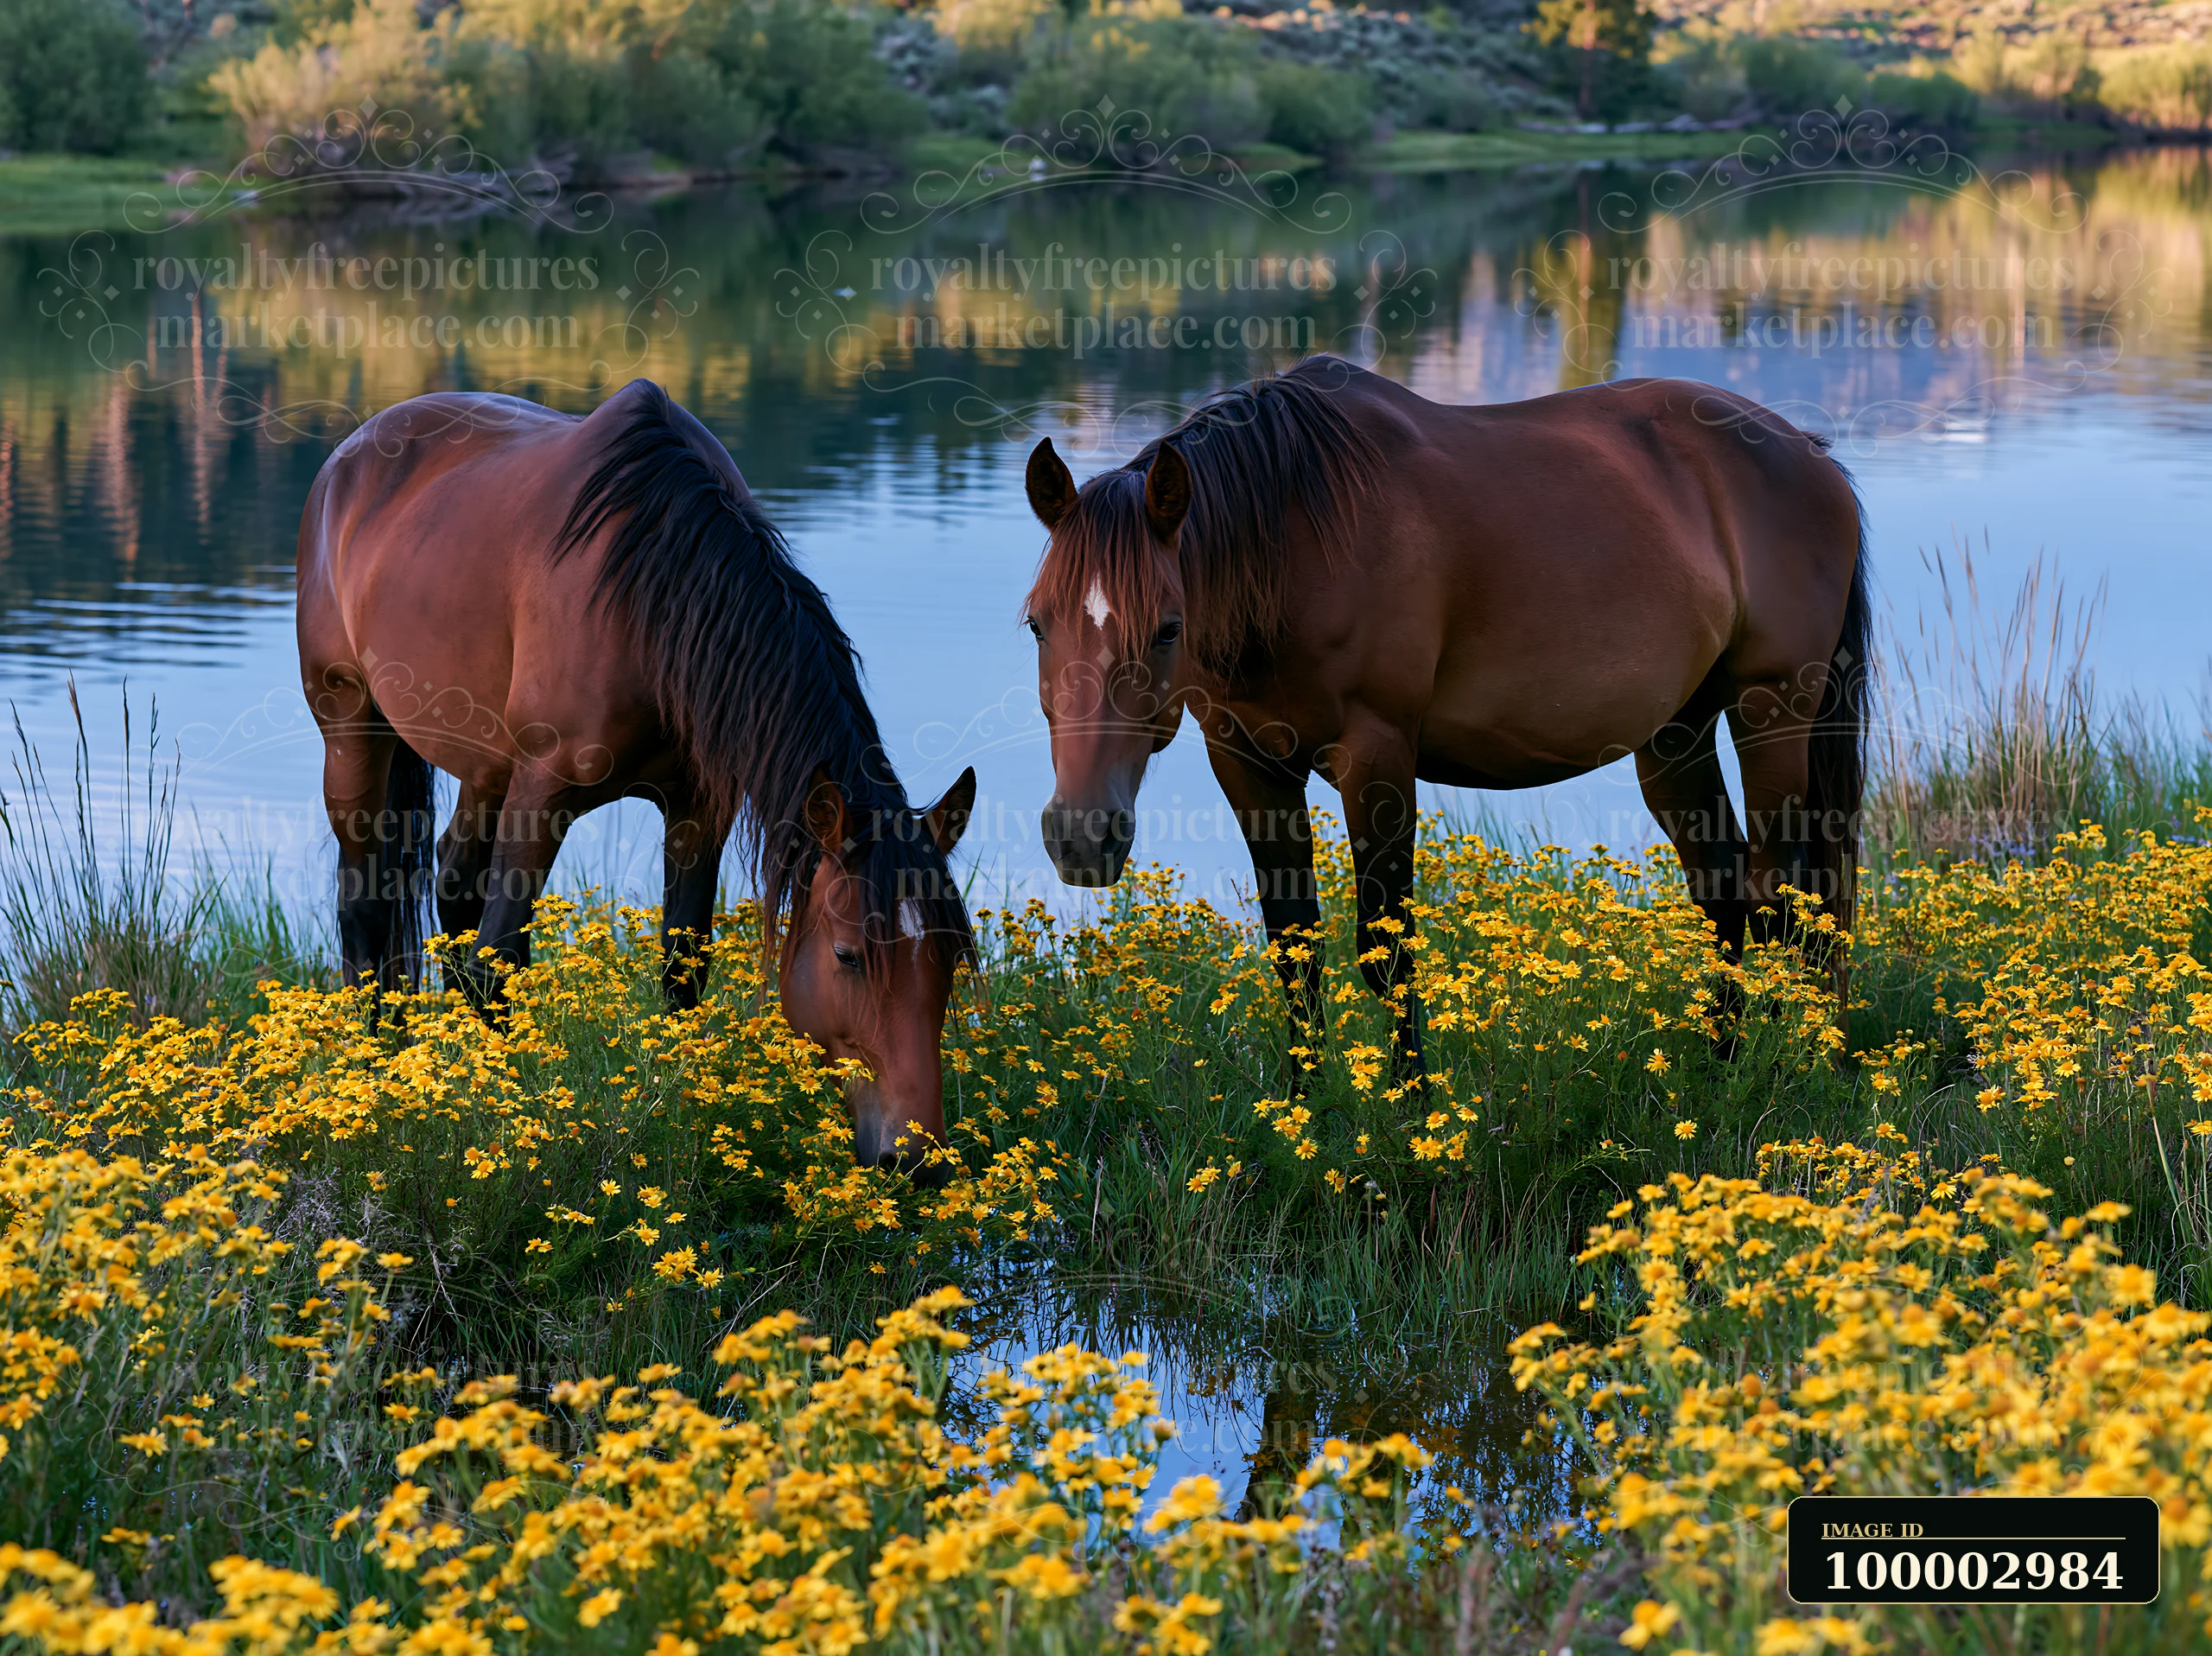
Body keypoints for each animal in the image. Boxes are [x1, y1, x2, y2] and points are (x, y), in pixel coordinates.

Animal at [296, 379, 977, 1180]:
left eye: (950, 956)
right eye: (847, 956)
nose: (920, 1158)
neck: (656, 599)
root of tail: (351, 454)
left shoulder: (699, 806)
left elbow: (683, 967)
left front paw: (682, 1105)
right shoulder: (543, 794)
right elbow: (504, 957)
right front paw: (504, 1118)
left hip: (482, 763)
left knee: (451, 887)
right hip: (352, 727)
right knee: (367, 909)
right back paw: (376, 1069)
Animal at [1021, 357, 1868, 1084]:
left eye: (1168, 628)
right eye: (1037, 624)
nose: (1082, 836)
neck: (1297, 539)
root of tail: (1808, 453)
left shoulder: (1377, 756)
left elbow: (1387, 951)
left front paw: (1414, 1111)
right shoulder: (1247, 760)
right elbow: (1294, 949)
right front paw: (1300, 1112)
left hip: (1771, 710)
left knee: (1786, 897)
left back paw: (1793, 1070)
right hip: (1676, 733)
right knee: (1725, 893)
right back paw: (1718, 1067)